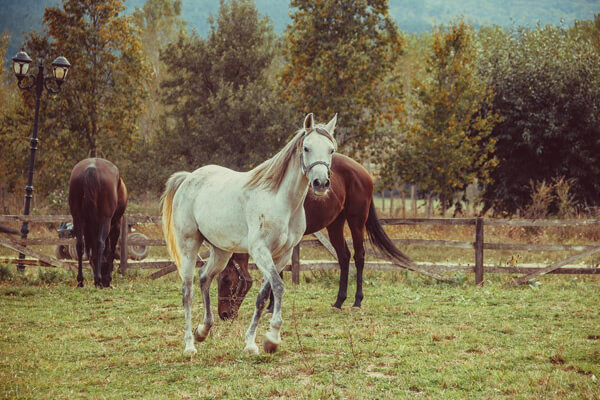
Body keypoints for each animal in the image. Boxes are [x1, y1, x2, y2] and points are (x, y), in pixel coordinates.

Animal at [68, 159, 127, 288]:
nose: (105, 283)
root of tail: (92, 168)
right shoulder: (115, 225)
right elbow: (110, 251)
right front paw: (106, 277)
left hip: (77, 219)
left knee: (80, 245)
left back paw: (80, 280)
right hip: (105, 220)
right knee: (100, 244)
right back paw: (98, 280)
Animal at [162, 114, 336, 354]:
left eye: (331, 150)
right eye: (307, 147)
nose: (321, 183)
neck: (281, 201)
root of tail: (188, 178)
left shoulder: (282, 256)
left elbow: (263, 296)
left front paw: (252, 342)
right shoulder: (260, 250)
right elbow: (278, 287)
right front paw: (272, 337)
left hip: (221, 251)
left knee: (205, 277)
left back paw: (203, 330)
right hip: (189, 245)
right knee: (187, 291)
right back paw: (189, 344)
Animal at [218, 153, 414, 318]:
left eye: (226, 279)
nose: (224, 314)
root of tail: (363, 172)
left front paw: (272, 307)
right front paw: (270, 307)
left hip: (356, 221)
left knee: (359, 257)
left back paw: (357, 302)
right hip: (335, 224)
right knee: (344, 257)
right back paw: (338, 302)